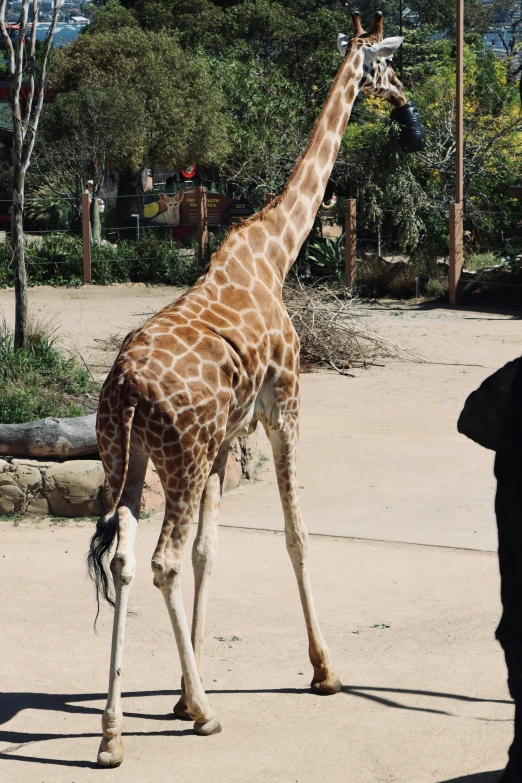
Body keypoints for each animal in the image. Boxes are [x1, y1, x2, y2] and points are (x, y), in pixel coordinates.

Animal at [88, 12, 406, 768]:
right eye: (388, 66)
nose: (406, 103)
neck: (276, 252)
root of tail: (127, 388)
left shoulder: (227, 437)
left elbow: (213, 550)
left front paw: (182, 689)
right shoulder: (283, 403)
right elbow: (295, 533)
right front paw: (323, 670)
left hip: (127, 458)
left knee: (126, 559)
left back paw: (114, 735)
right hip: (178, 455)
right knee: (162, 561)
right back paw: (207, 716)